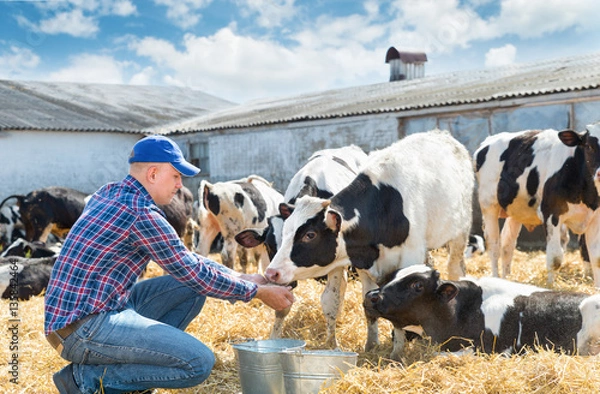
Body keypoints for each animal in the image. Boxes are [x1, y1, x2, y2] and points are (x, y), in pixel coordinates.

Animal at [233, 144, 366, 344]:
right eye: (269, 245)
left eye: (305, 237)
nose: (274, 274)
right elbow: (282, 307)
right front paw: (274, 338)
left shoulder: (337, 264)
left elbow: (330, 301)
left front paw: (331, 343)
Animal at [264, 130, 476, 358]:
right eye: (285, 232)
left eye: (310, 235)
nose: (271, 273)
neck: (382, 209)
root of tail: (441, 133)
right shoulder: (365, 266)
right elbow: (367, 306)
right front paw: (372, 345)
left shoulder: (409, 258)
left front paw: (397, 354)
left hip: (460, 231)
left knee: (455, 267)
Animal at [474, 124, 600, 288]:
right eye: (589, 146)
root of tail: (489, 140)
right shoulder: (551, 213)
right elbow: (555, 258)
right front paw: (551, 287)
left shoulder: (595, 218)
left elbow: (596, 257)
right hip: (489, 205)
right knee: (493, 245)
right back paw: (495, 278)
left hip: (516, 210)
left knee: (507, 244)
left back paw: (506, 279)